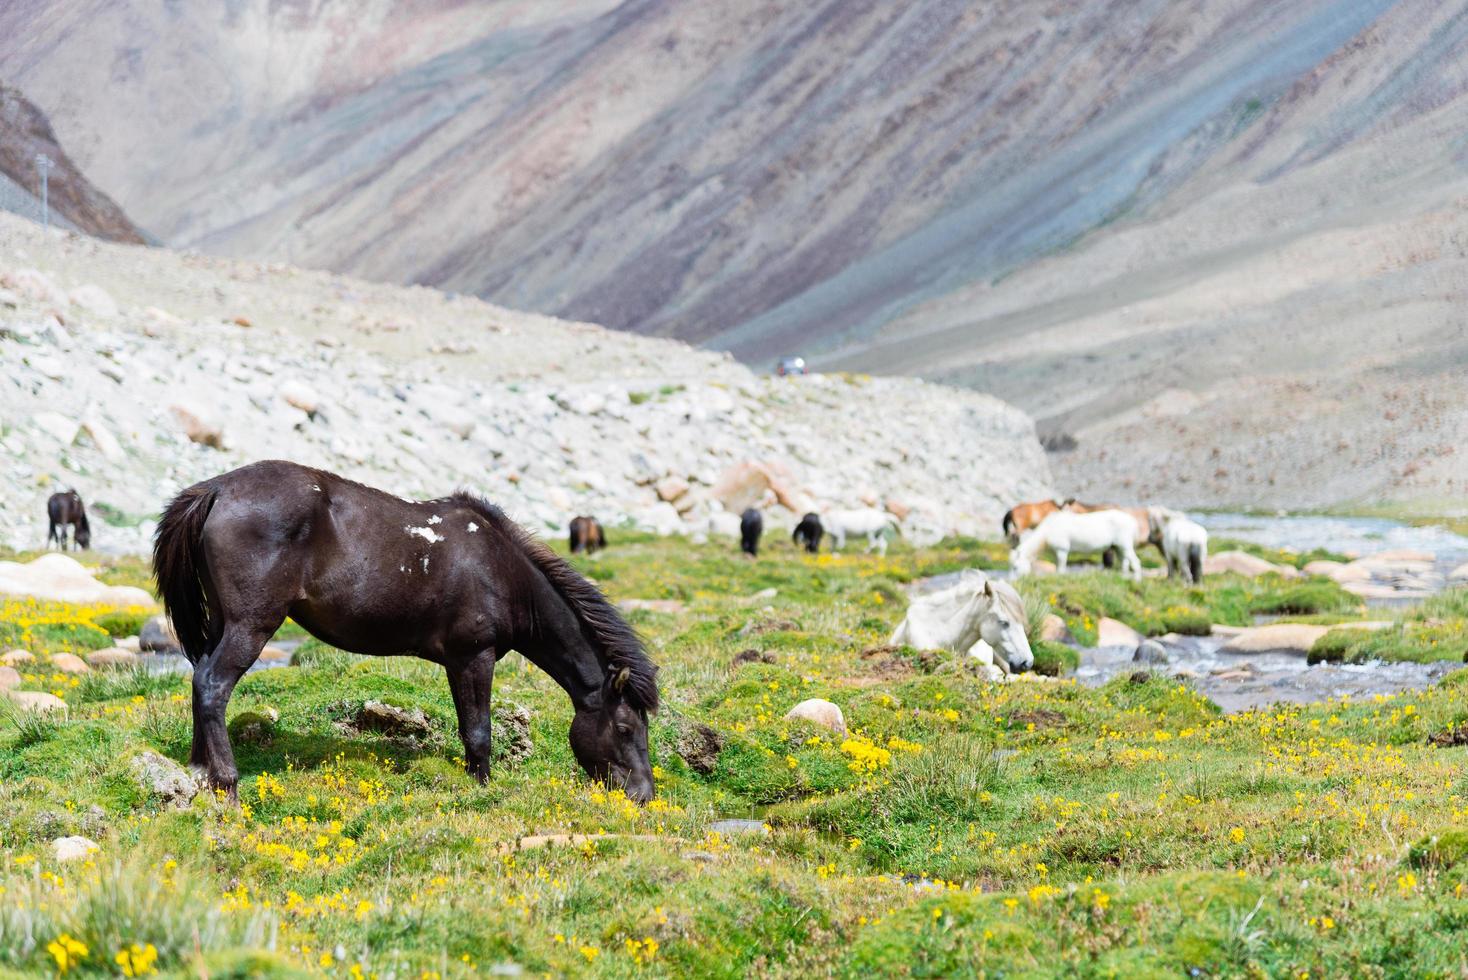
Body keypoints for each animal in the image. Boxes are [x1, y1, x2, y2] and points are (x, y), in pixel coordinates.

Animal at [151, 463, 657, 798]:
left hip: (222, 624)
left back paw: (199, 770)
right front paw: (483, 788)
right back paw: (226, 782)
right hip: (251, 626)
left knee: (199, 680)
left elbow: (469, 727)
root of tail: (217, 489)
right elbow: (479, 730)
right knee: (213, 685)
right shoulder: (474, 657)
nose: (643, 795)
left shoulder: (458, 662)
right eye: (626, 727)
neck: (501, 571)